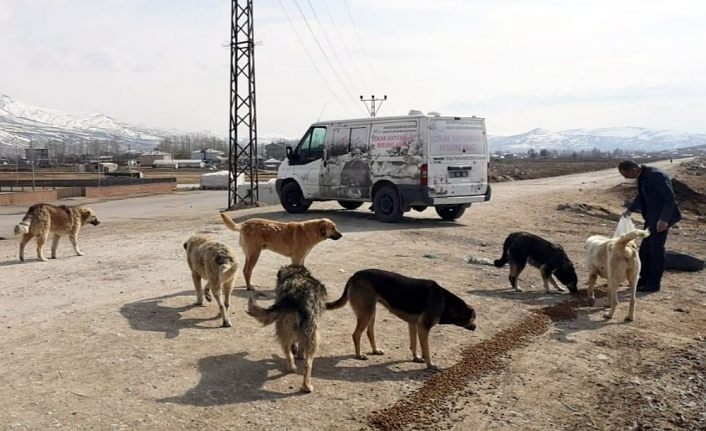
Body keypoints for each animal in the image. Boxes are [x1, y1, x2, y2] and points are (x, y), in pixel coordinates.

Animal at [246, 264, 326, 394]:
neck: (296, 275)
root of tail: (293, 297)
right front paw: (300, 354)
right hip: (313, 335)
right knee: (308, 364)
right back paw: (306, 385)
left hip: (283, 326)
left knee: (288, 351)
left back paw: (294, 369)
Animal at [324, 270, 472, 372]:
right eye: (473, 318)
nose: (475, 327)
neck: (445, 301)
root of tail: (355, 275)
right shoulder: (423, 327)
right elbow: (427, 350)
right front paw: (430, 365)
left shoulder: (413, 324)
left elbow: (414, 344)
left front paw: (416, 358)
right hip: (366, 313)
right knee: (356, 334)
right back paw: (359, 355)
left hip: (371, 311)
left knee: (369, 332)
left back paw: (375, 350)